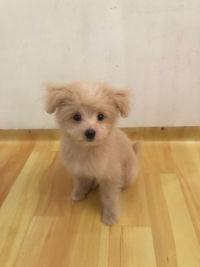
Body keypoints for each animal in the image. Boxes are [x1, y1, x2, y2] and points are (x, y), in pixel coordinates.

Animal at [45, 81, 139, 226]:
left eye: (101, 116)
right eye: (76, 116)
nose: (90, 133)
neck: (88, 149)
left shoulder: (109, 178)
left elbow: (110, 199)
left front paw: (110, 217)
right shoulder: (79, 170)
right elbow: (80, 183)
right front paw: (79, 193)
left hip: (129, 173)